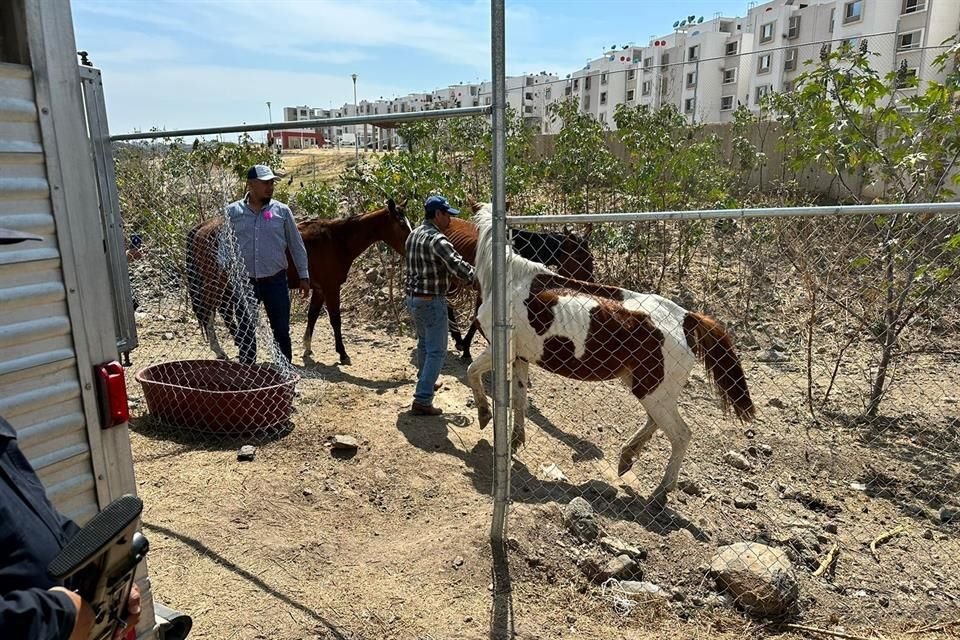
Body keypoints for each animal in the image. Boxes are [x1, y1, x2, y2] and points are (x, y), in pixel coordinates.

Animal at [188, 198, 408, 368]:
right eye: (402, 225)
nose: (411, 248)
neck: (337, 239)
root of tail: (203, 227)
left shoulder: (319, 289)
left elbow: (312, 316)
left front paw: (307, 347)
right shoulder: (331, 288)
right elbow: (335, 320)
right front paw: (343, 353)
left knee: (223, 310)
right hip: (216, 283)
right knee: (209, 311)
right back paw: (220, 350)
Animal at [466, 202, 756, 508]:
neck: (508, 280)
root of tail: (687, 319)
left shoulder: (499, 350)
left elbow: (472, 371)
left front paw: (484, 414)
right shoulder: (519, 357)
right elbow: (520, 400)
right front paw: (515, 440)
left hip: (653, 391)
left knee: (681, 435)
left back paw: (661, 492)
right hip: (647, 387)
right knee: (654, 422)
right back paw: (627, 457)